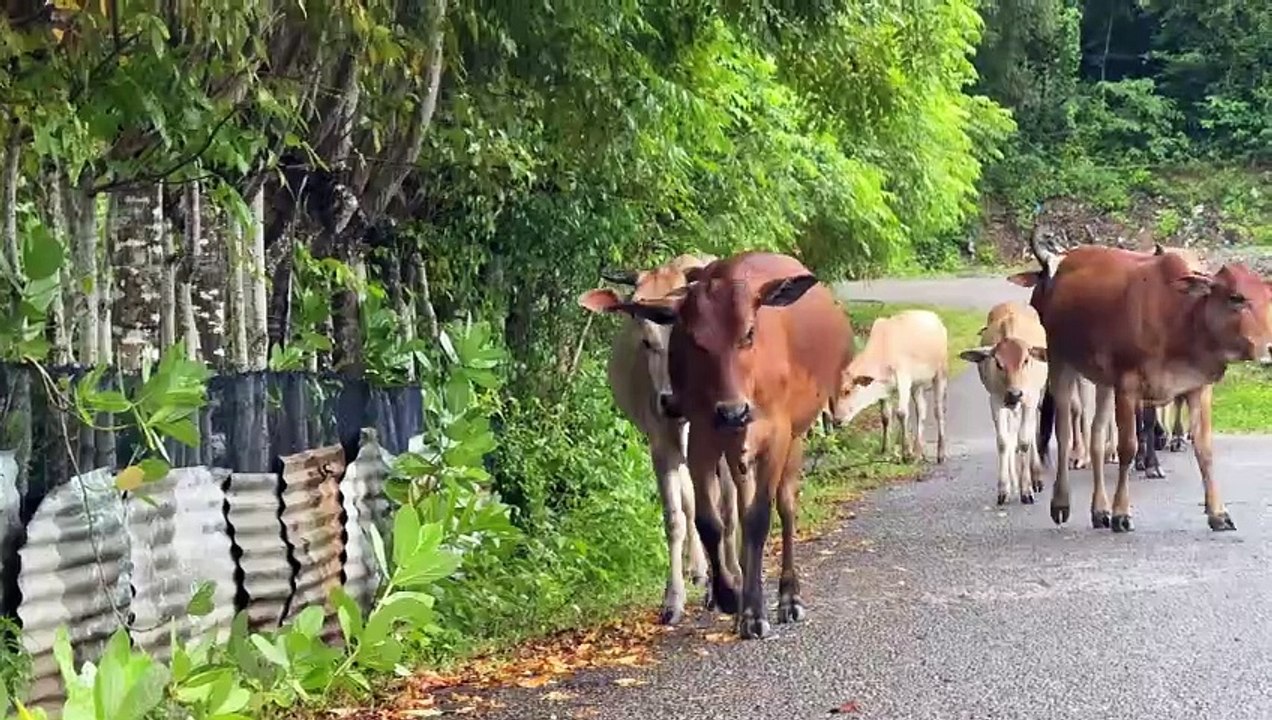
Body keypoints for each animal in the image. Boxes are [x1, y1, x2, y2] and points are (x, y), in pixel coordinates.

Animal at [578, 253, 741, 625]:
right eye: (646, 340)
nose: (669, 401)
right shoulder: (661, 443)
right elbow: (676, 517)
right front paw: (674, 599)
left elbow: (727, 510)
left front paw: (733, 580)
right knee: (690, 500)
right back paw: (700, 572)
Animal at [602, 251, 854, 640]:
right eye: (694, 340)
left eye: (748, 333)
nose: (733, 411)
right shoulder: (700, 438)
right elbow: (707, 519)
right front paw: (727, 595)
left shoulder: (775, 437)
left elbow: (758, 518)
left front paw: (753, 612)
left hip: (795, 438)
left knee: (784, 508)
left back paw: (788, 596)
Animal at [828, 309, 949, 464]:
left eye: (847, 391)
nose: (837, 420)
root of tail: (935, 318)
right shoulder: (885, 389)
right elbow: (885, 417)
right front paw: (885, 450)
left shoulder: (904, 379)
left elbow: (902, 413)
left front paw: (906, 452)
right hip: (917, 385)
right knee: (921, 409)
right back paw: (918, 451)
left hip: (940, 374)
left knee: (938, 411)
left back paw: (940, 453)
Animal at [958, 302, 1048, 505]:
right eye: (998, 363)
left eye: (1026, 360)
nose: (1015, 393)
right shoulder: (996, 400)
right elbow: (1003, 441)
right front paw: (1004, 489)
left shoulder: (1030, 399)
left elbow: (1024, 441)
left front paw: (1026, 489)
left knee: (1030, 432)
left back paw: (1036, 477)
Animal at [1032, 235, 1272, 533]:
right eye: (1236, 298)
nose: (1270, 348)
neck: (1179, 318)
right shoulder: (1127, 386)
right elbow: (1127, 448)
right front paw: (1121, 513)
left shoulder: (1198, 387)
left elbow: (1204, 449)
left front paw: (1218, 513)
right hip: (1060, 362)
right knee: (1064, 433)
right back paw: (1061, 502)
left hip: (1103, 382)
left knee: (1096, 436)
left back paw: (1099, 510)